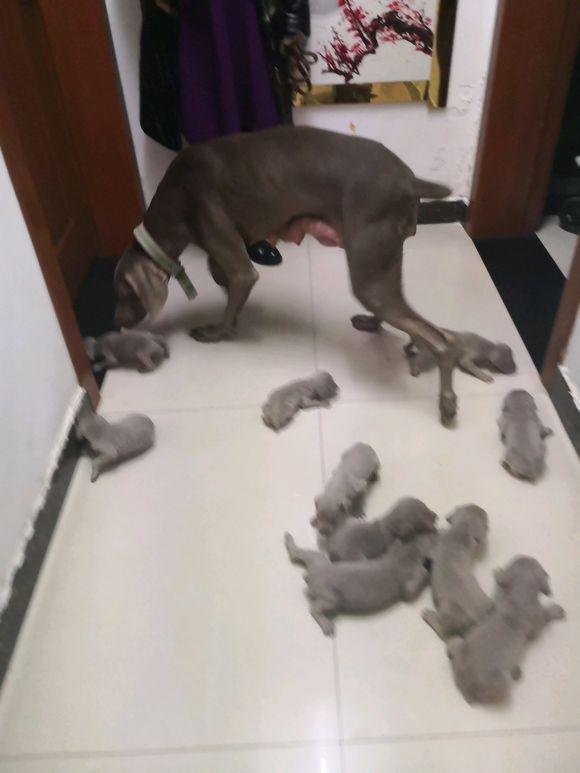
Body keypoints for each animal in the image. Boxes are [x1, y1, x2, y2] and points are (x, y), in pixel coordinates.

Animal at [113, 126, 458, 424]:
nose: (118, 323)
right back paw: (386, 331)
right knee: (404, 314)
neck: (176, 196)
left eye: (122, 291)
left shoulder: (230, 251)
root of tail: (409, 179)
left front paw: (216, 331)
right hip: (383, 263)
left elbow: (237, 282)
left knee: (441, 339)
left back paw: (447, 401)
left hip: (369, 266)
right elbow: (219, 273)